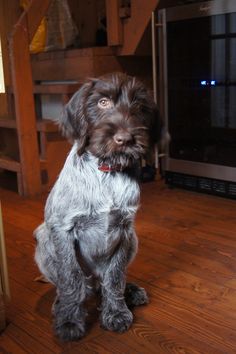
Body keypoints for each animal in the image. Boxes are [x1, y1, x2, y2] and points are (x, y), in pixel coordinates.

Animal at [34, 72, 161, 340]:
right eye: (103, 102)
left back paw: (128, 292)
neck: (106, 172)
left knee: (104, 282)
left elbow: (115, 277)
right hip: (43, 239)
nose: (125, 139)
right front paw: (69, 320)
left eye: (139, 106)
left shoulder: (124, 231)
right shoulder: (63, 229)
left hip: (134, 240)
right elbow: (71, 277)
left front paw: (116, 312)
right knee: (76, 285)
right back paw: (62, 303)